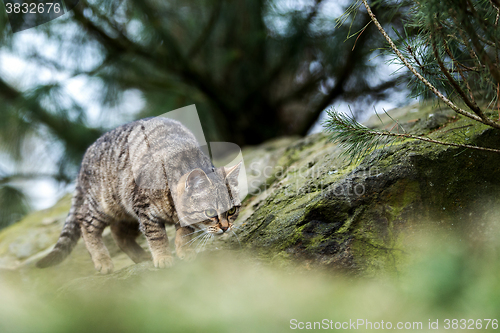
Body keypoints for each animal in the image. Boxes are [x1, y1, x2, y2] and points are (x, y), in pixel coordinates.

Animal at [36, 116, 241, 272]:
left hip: (126, 214)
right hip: (103, 205)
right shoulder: (145, 210)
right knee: (85, 222)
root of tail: (85, 157)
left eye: (232, 211)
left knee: (118, 232)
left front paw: (185, 251)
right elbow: (157, 236)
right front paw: (163, 257)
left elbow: (184, 233)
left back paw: (140, 256)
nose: (225, 227)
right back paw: (102, 261)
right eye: (210, 213)